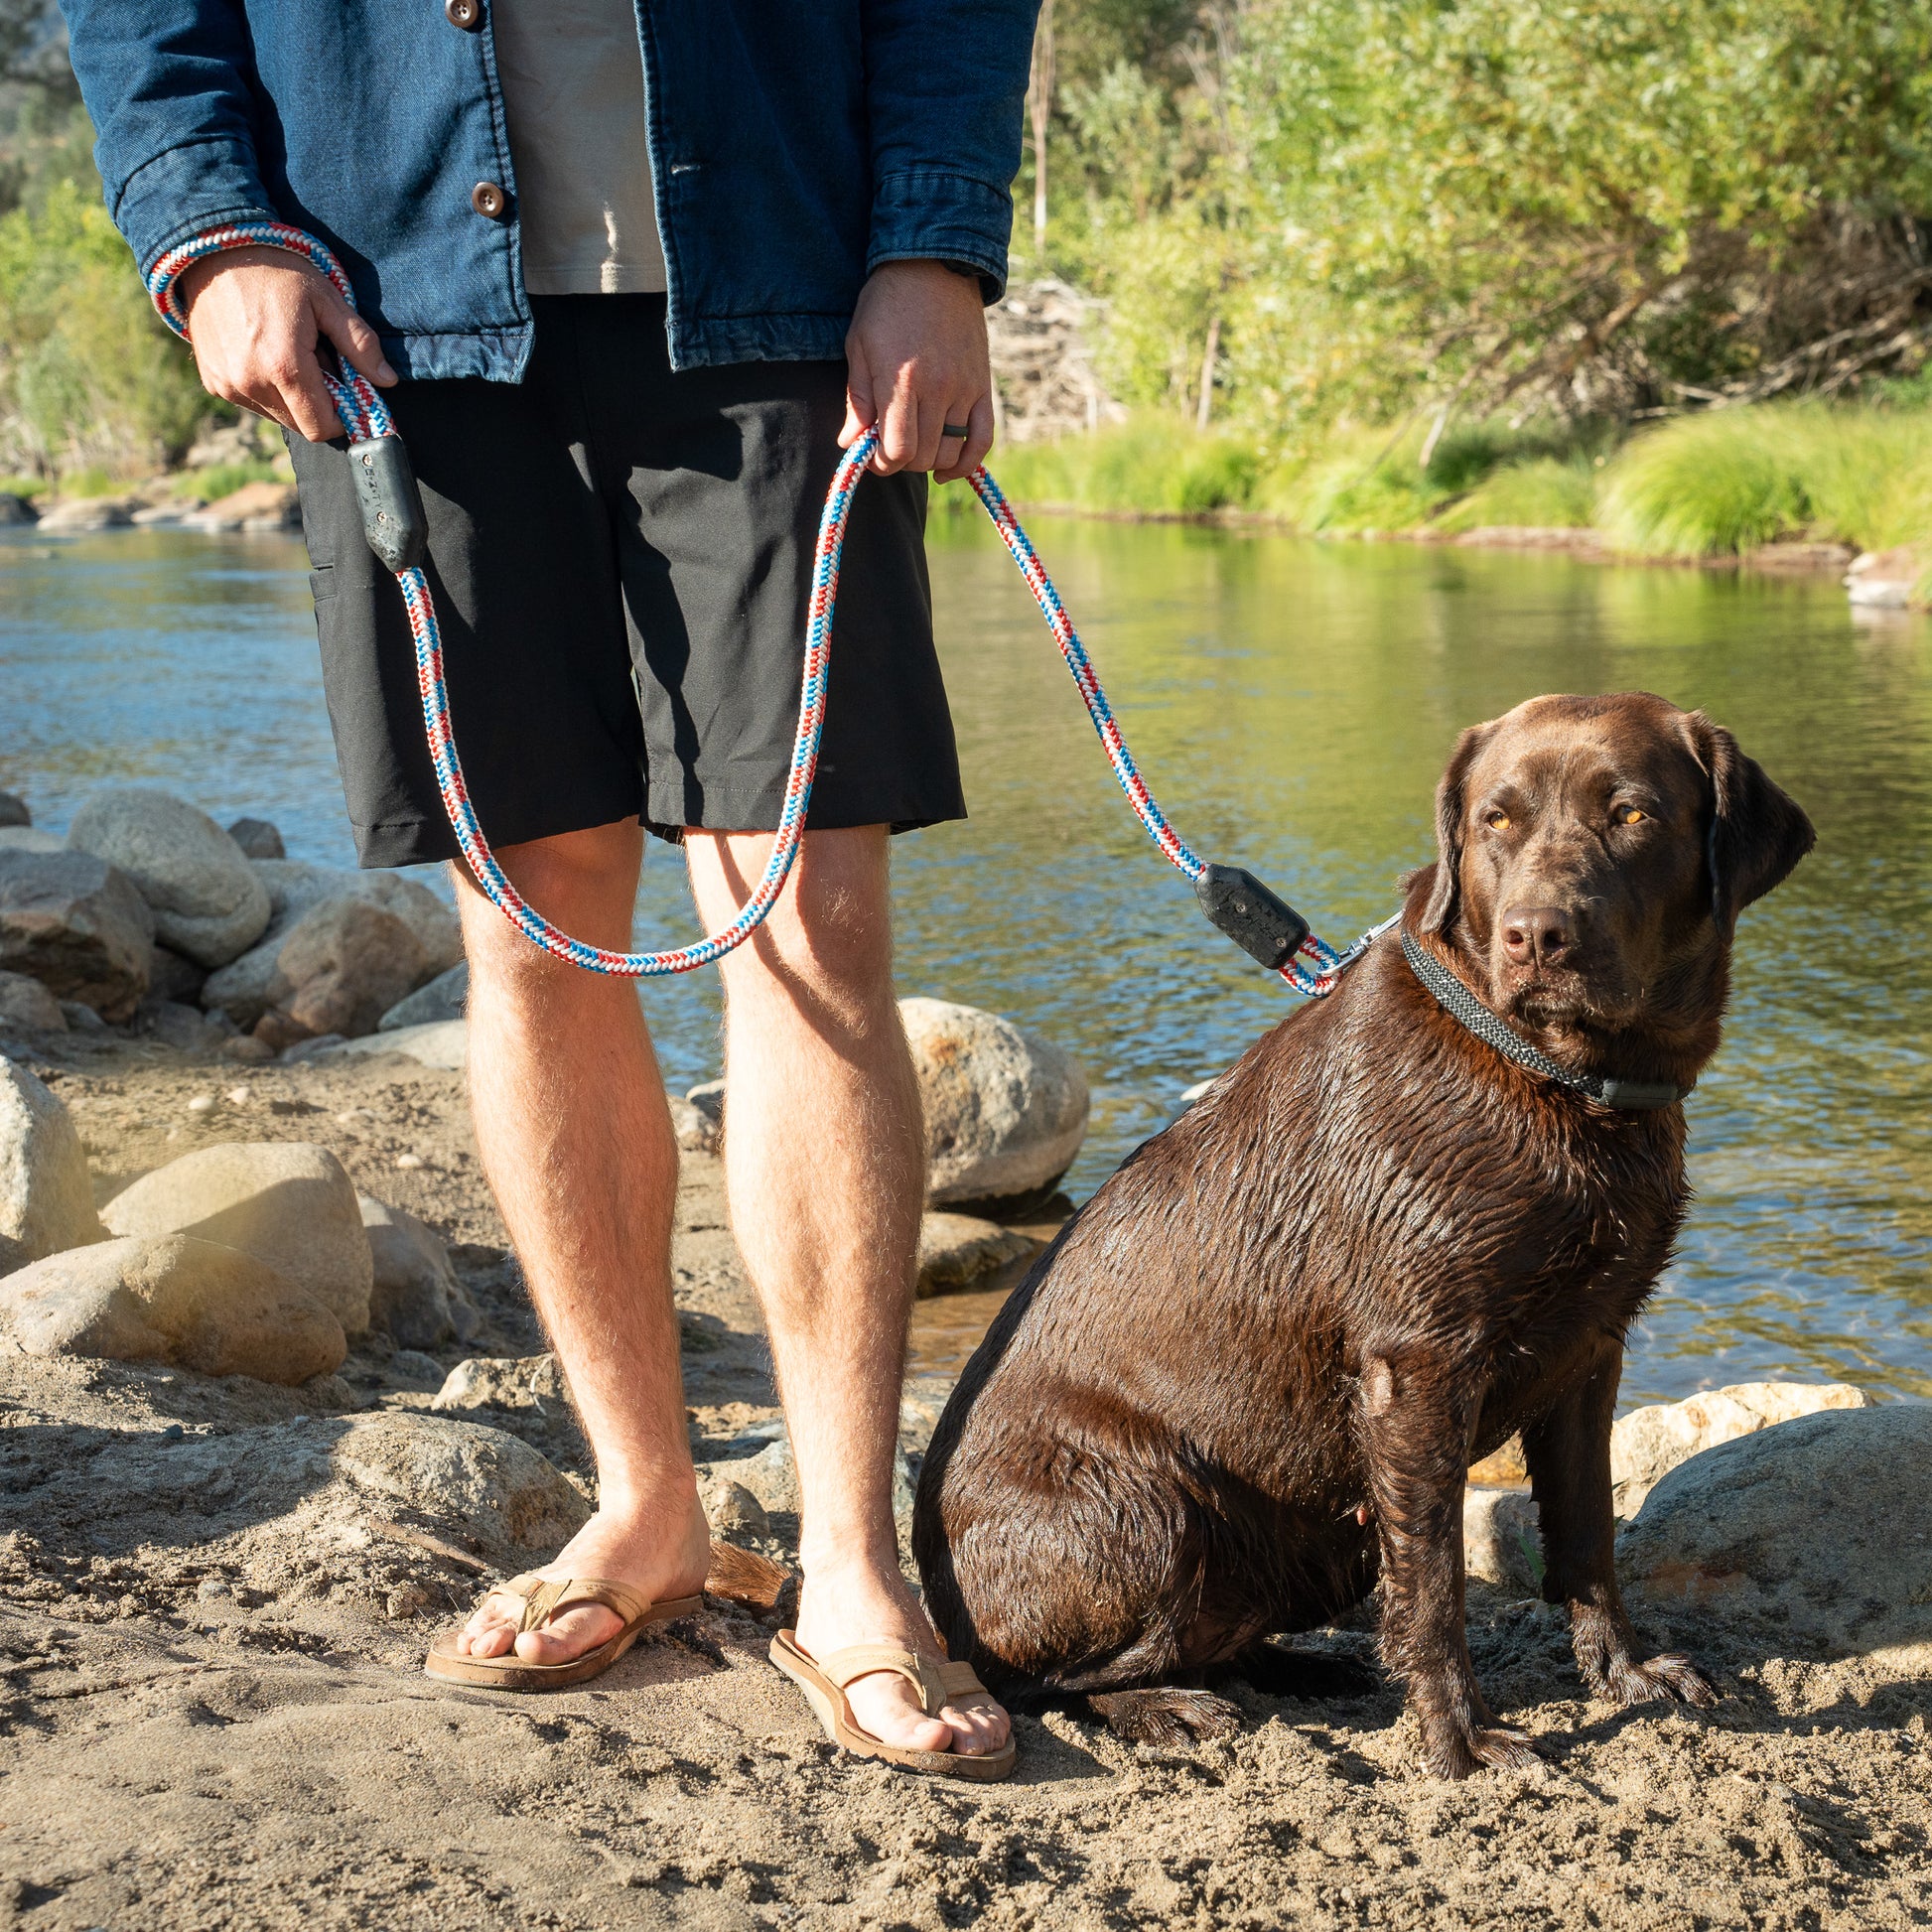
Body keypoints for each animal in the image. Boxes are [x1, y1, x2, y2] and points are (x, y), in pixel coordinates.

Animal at [911, 687, 1816, 1769]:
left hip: (1314, 1534)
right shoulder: (1417, 1368)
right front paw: (1457, 1738)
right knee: (1044, 1678)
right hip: (1151, 1504)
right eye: (1494, 820)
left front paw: (1628, 1673)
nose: (1536, 935)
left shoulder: (1593, 1346)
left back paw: (1299, 1668)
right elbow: (1433, 1582)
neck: (1555, 1073)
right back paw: (1167, 1705)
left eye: (1631, 812)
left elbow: (1588, 1532)